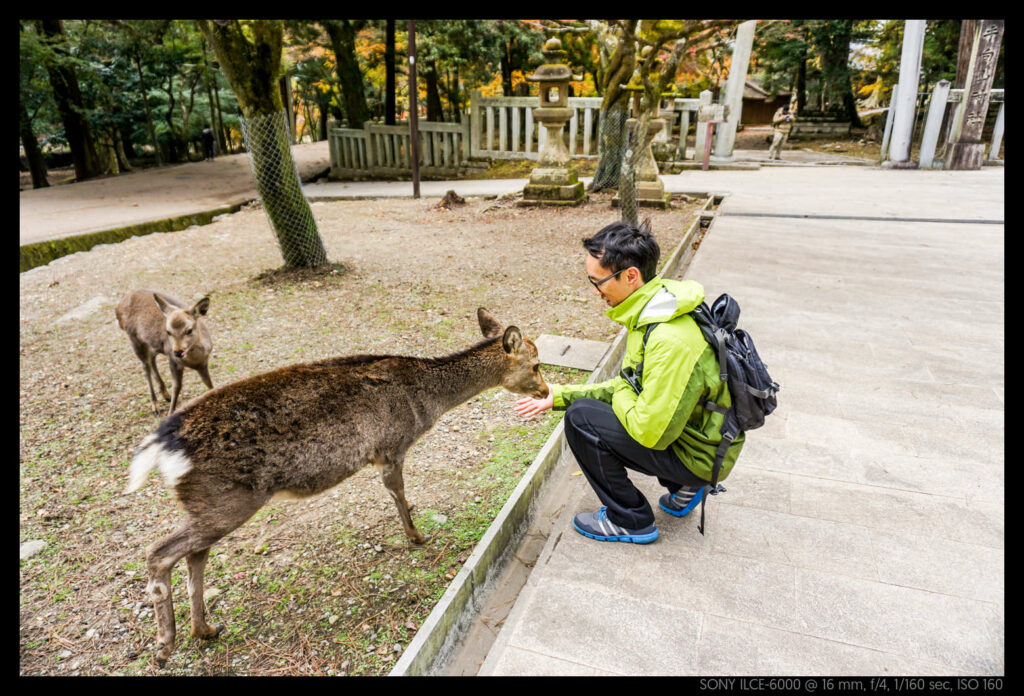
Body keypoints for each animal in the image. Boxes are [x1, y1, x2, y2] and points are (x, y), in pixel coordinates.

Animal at [123, 307, 548, 667]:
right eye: (537, 363)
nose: (546, 391)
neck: (426, 401)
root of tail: (163, 445)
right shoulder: (392, 446)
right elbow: (399, 493)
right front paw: (417, 536)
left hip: (208, 503)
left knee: (195, 555)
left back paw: (205, 629)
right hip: (228, 500)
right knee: (159, 552)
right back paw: (165, 645)